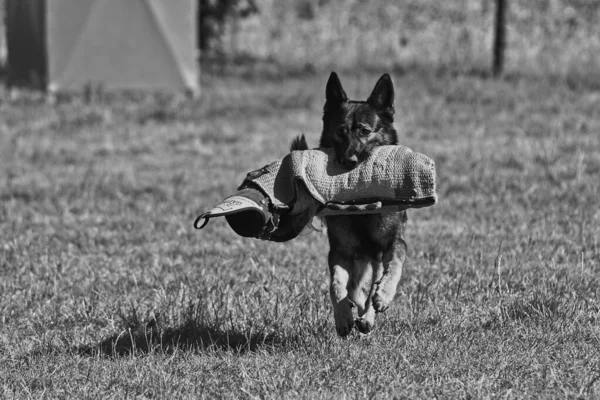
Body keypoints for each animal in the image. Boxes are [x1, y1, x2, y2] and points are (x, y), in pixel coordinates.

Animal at [290, 71, 408, 334]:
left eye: (364, 131)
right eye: (340, 131)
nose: (348, 161)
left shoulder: (392, 243)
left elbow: (393, 267)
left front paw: (383, 297)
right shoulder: (340, 251)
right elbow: (336, 286)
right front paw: (343, 316)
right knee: (356, 288)